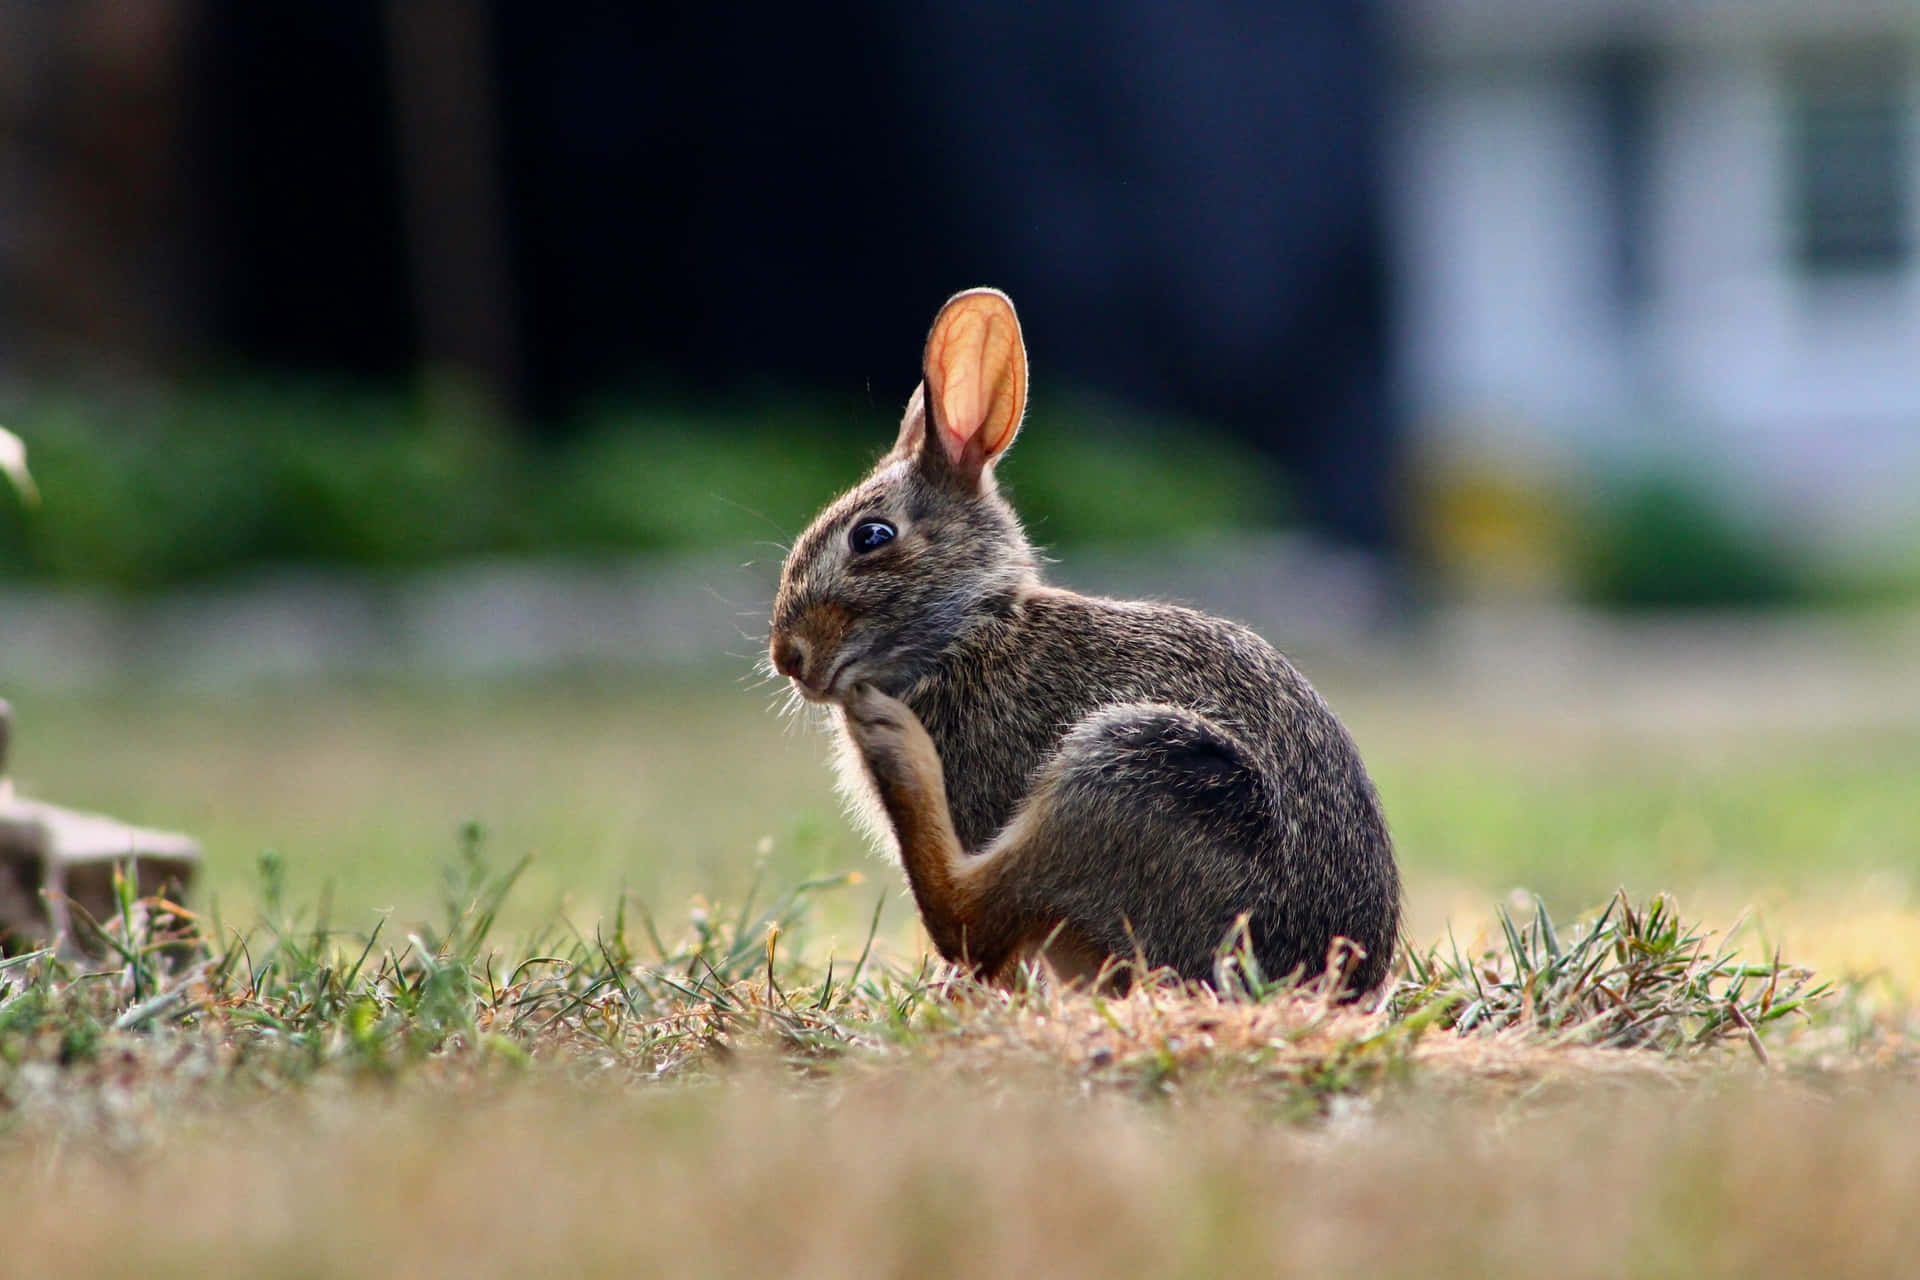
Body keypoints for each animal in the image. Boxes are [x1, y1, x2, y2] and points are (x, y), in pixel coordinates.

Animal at [771, 287, 1405, 990]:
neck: (969, 632)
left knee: (967, 919)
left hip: (1137, 772)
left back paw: (889, 741)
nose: (787, 657)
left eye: (872, 537)